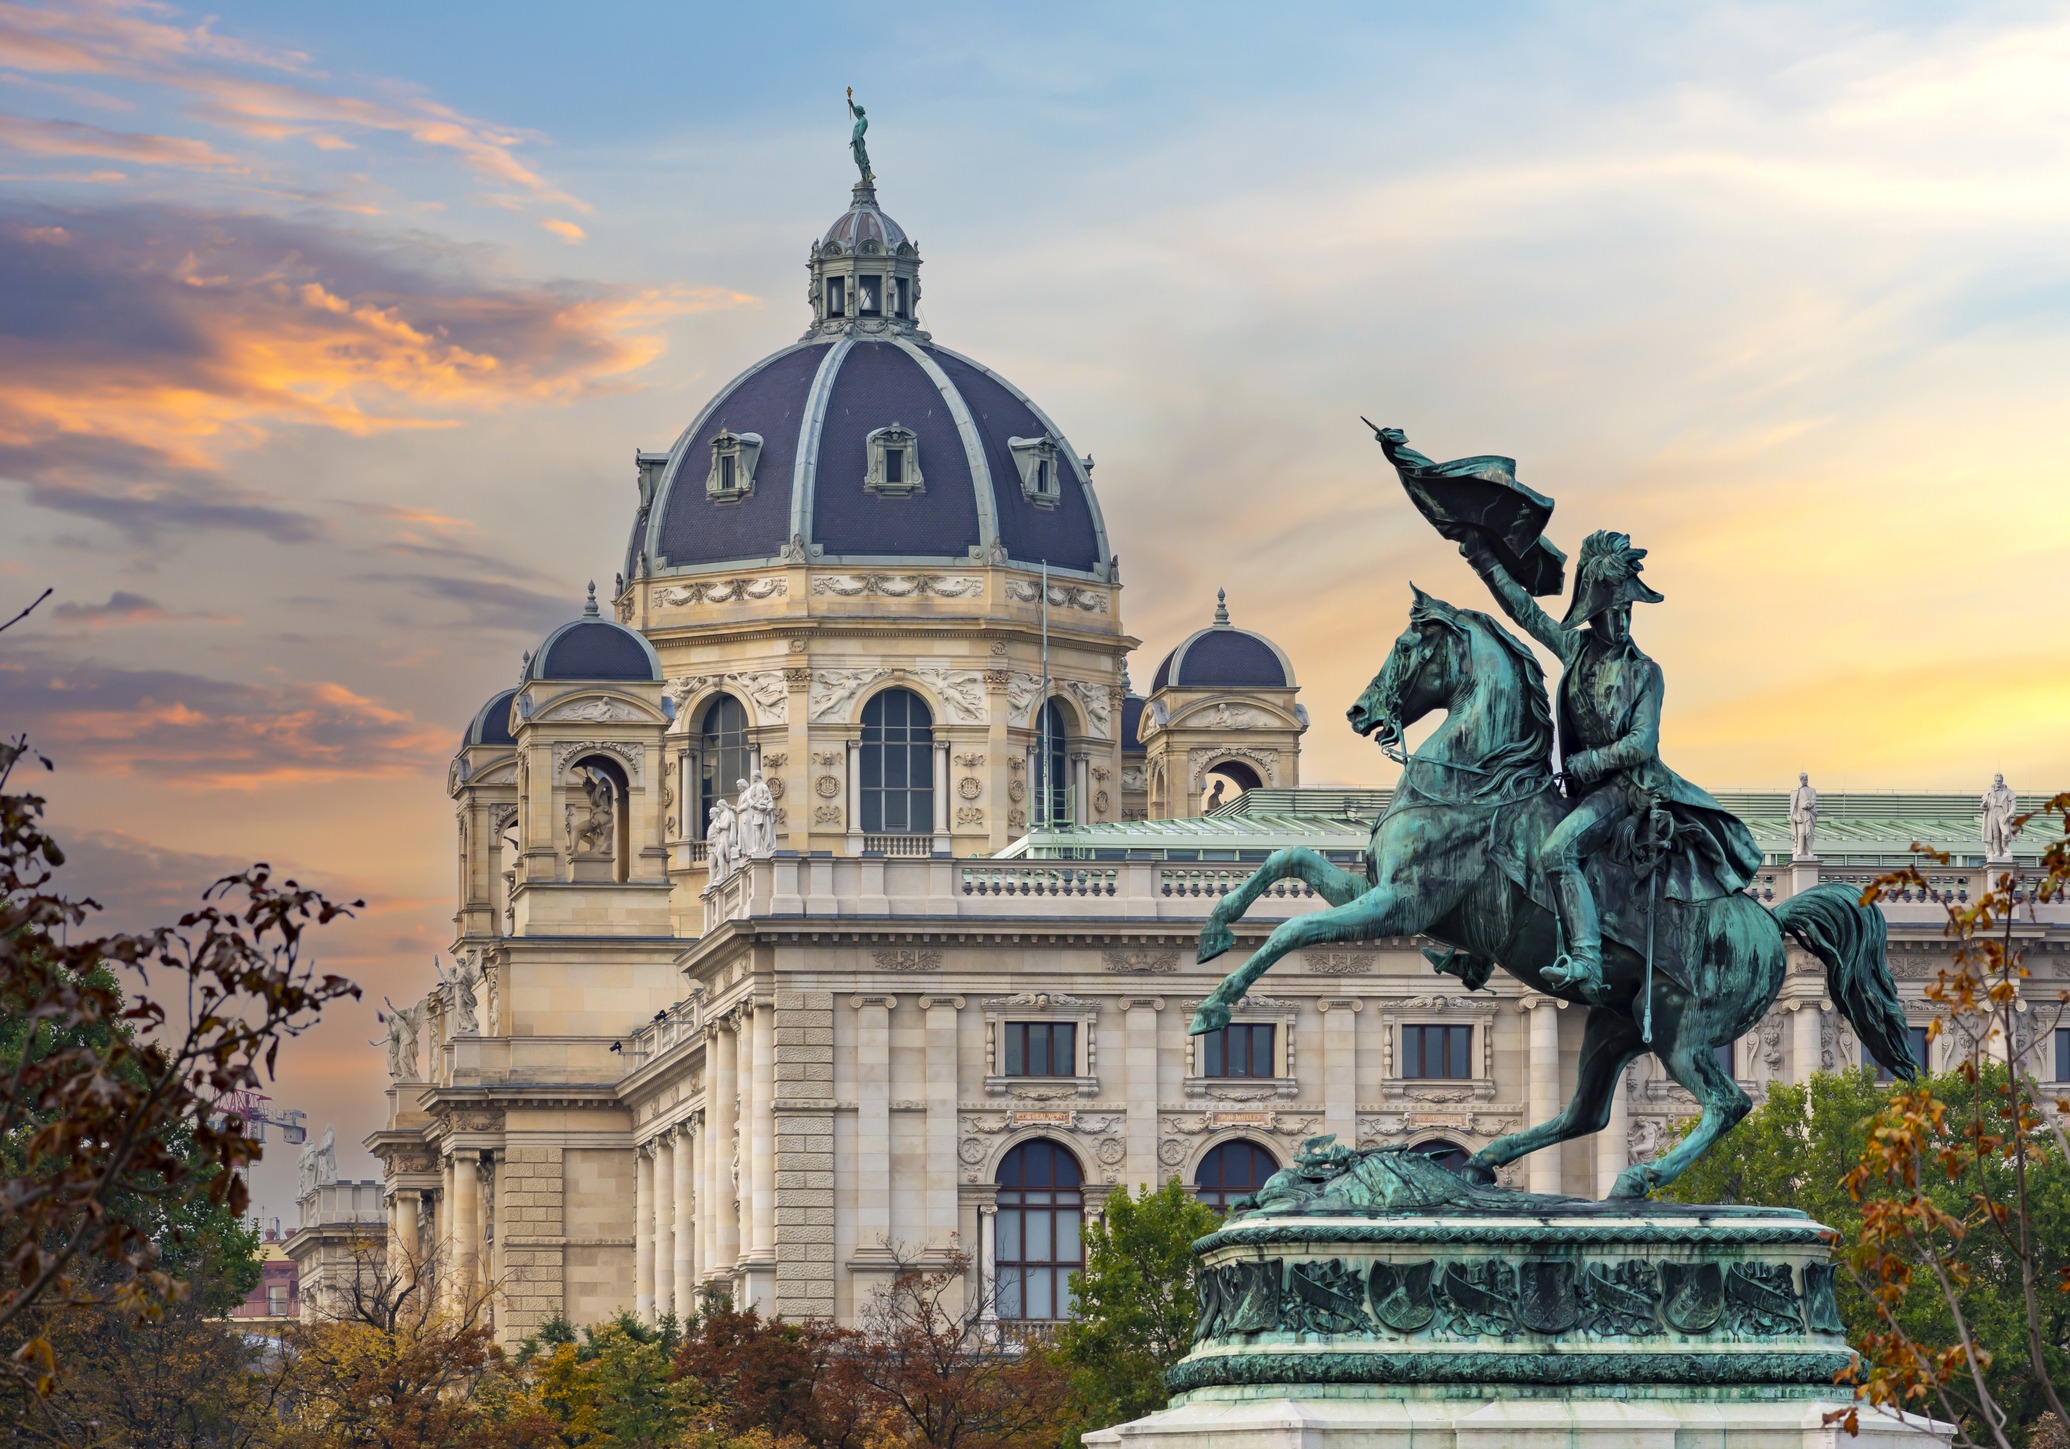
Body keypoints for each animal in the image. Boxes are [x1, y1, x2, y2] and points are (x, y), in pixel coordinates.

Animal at [1192, 583, 1912, 1192]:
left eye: (1405, 646)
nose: (1359, 710)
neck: (1477, 783)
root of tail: (1771, 919)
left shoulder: (1404, 902)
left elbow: (1292, 928)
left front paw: (1214, 1006)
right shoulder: (1382, 894)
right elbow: (1286, 860)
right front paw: (1214, 931)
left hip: (1682, 1031)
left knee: (1726, 1104)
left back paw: (1636, 1177)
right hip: (1616, 1025)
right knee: (1585, 1115)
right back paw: (1483, 1161)